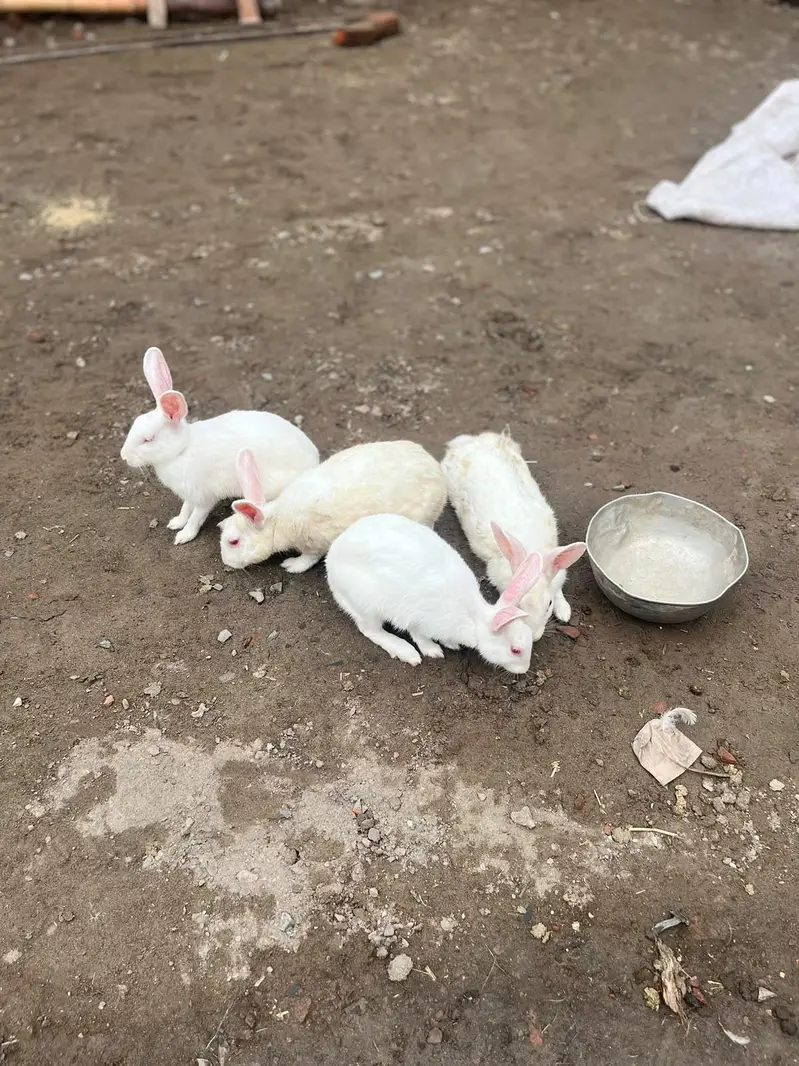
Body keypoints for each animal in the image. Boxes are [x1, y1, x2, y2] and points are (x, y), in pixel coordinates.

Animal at [120, 346, 319, 544]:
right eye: (135, 423)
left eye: (149, 439)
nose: (124, 456)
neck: (182, 451)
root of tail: (315, 462)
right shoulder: (190, 495)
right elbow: (185, 509)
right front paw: (176, 522)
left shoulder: (204, 497)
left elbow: (196, 517)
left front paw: (184, 536)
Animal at [220, 440, 447, 571]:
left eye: (233, 542)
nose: (225, 562)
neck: (278, 523)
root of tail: (436, 469)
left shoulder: (313, 542)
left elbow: (308, 559)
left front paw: (291, 566)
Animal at [325, 513, 544, 672]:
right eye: (515, 650)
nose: (525, 669)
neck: (474, 619)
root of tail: (331, 564)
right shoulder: (419, 620)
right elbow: (420, 636)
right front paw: (433, 651)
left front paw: (451, 644)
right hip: (367, 603)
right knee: (370, 630)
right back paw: (406, 651)